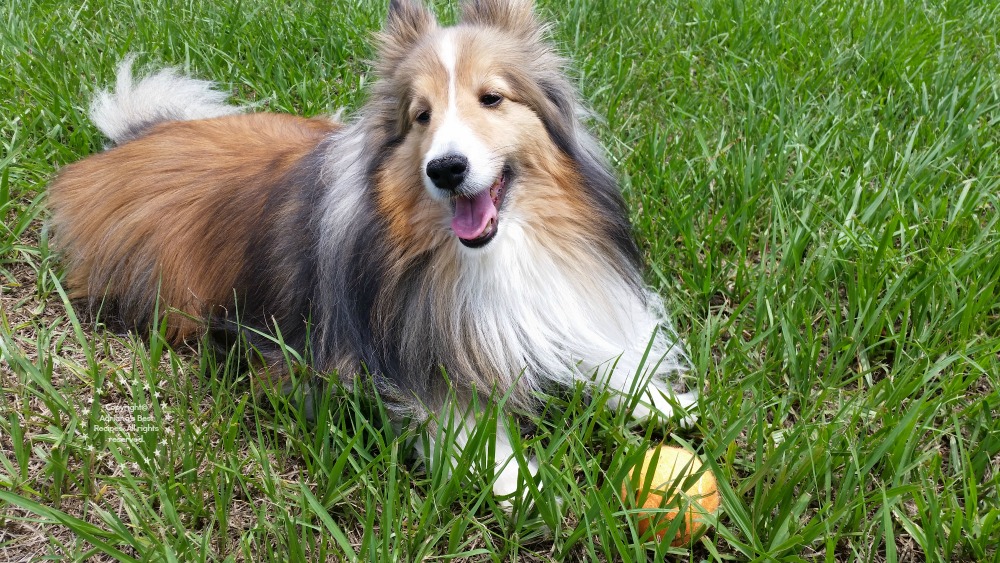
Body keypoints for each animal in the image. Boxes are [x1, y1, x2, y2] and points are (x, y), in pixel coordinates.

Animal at [47, 0, 696, 502]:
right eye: (421, 115)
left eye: (492, 98)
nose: (446, 168)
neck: (488, 256)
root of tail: (137, 139)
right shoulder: (408, 367)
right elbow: (470, 438)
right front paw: (530, 492)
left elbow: (605, 358)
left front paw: (669, 404)